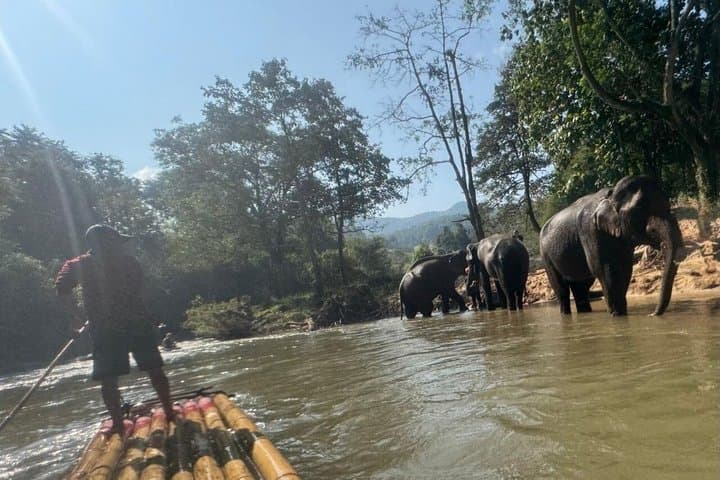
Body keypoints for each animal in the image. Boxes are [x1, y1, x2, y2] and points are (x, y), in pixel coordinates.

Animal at [539, 175, 683, 316]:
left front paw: (621, 314)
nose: (652, 314)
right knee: (562, 289)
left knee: (581, 287)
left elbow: (625, 268)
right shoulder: (590, 230)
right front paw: (617, 315)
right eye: (640, 209)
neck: (611, 194)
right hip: (546, 257)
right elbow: (603, 268)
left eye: (668, 205)